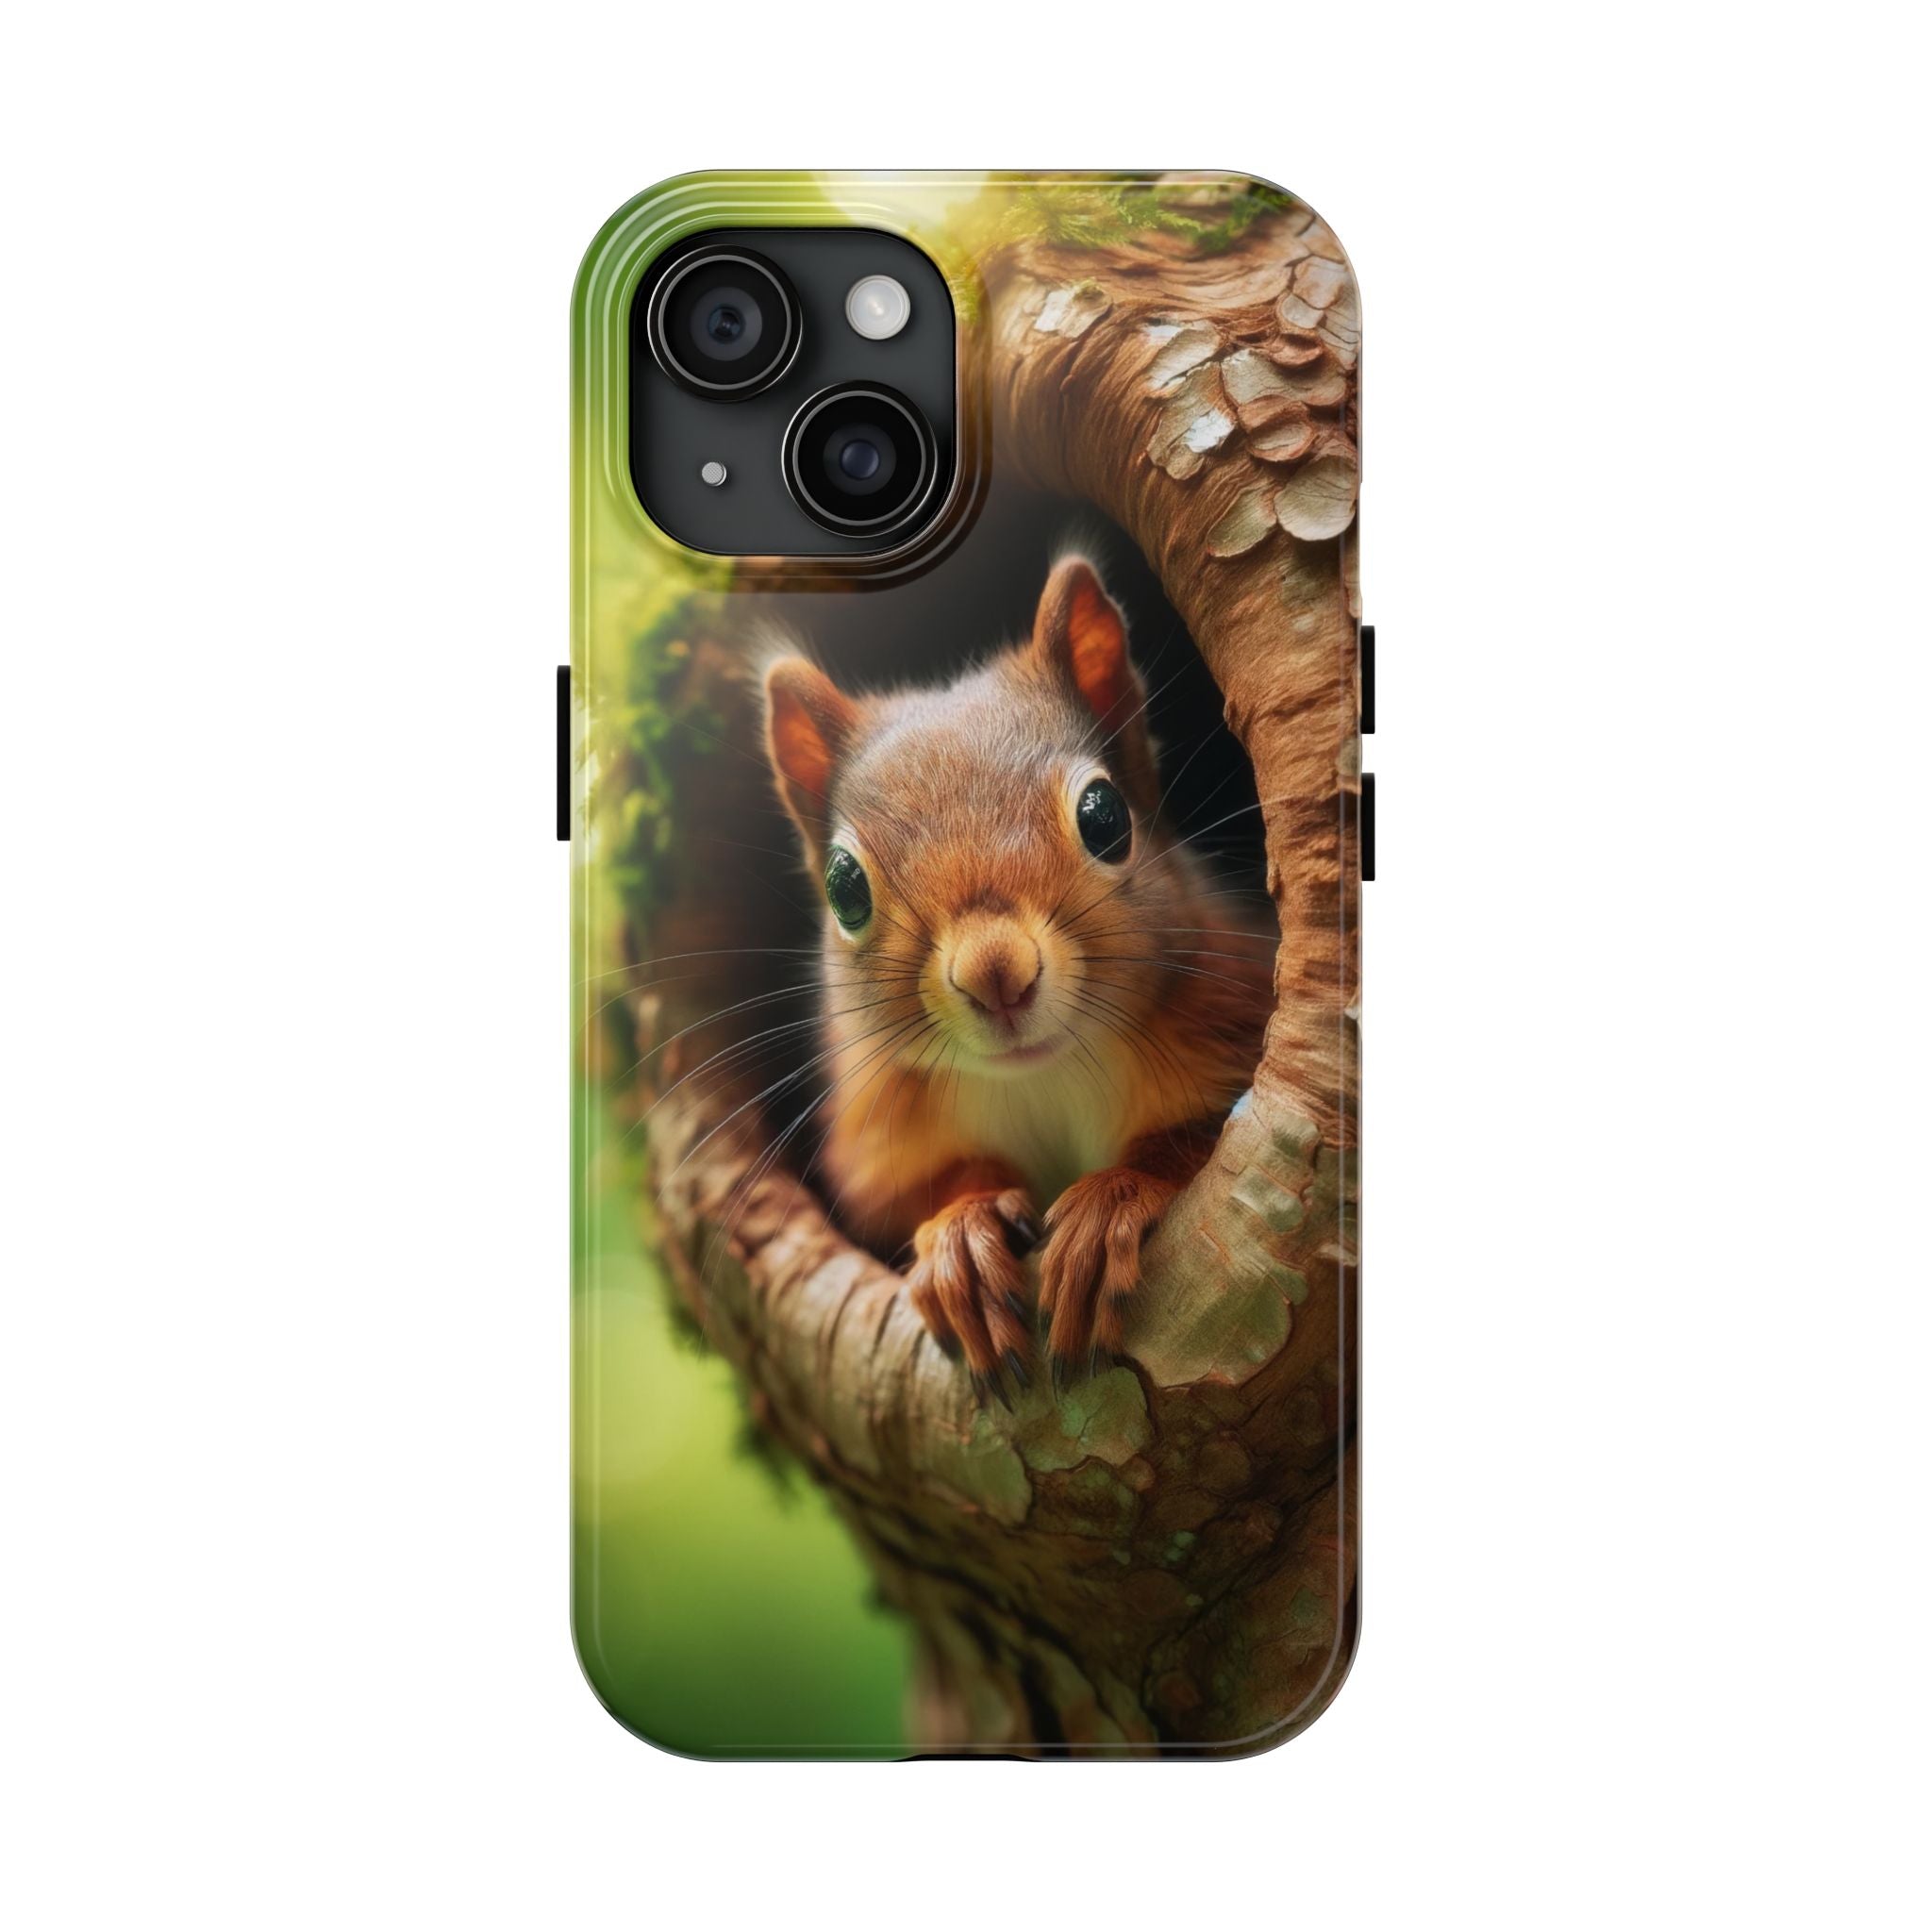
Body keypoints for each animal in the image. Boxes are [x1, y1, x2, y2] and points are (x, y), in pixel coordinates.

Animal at [762, 555, 1274, 1405]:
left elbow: (1196, 1140)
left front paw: (1108, 1204)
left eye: (1105, 817)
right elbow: (916, 1194)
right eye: (844, 887)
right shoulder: (878, 1134)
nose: (995, 973)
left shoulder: (1233, 1006)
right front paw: (962, 1238)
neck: (1043, 1078)